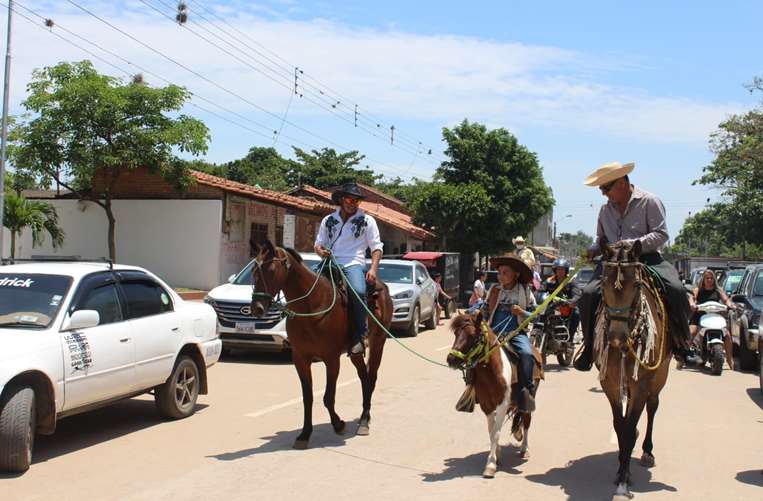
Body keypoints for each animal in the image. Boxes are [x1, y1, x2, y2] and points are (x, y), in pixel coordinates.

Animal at [251, 240, 394, 448]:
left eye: (271, 269)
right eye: (254, 270)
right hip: (355, 351)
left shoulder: (332, 359)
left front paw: (338, 424)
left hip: (378, 342)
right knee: (364, 376)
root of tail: (382, 287)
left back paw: (364, 420)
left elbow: (328, 397)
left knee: (372, 377)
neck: (312, 305)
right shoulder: (300, 358)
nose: (257, 308)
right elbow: (308, 397)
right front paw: (304, 434)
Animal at [600, 240, 672, 498]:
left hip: (660, 375)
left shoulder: (642, 383)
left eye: (637, 284)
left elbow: (630, 428)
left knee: (653, 406)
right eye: (603, 282)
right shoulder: (609, 383)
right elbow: (620, 426)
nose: (616, 337)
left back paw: (647, 451)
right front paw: (622, 468)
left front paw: (624, 478)